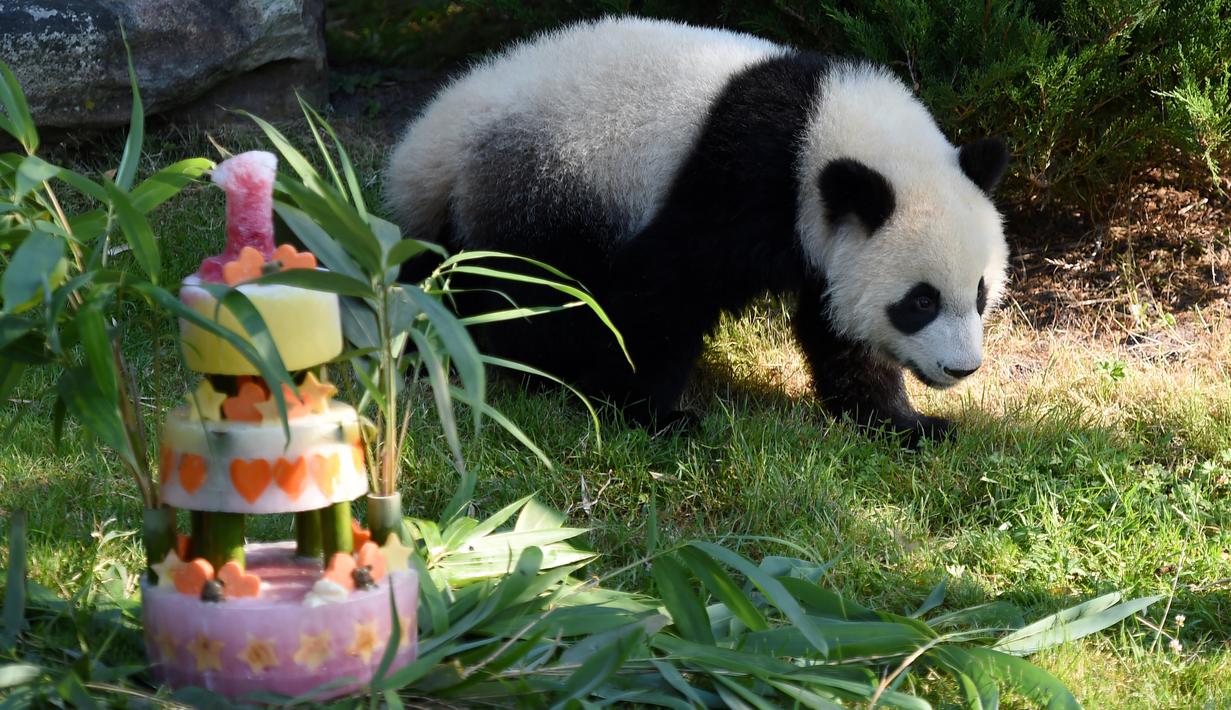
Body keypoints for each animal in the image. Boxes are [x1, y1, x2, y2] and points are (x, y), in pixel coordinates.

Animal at [384, 16, 1010, 442]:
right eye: (920, 302)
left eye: (979, 294)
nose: (961, 368)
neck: (824, 125)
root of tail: (428, 144)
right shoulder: (745, 178)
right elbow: (667, 287)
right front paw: (656, 414)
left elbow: (837, 327)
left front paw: (908, 423)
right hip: (550, 181)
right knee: (533, 290)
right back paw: (539, 370)